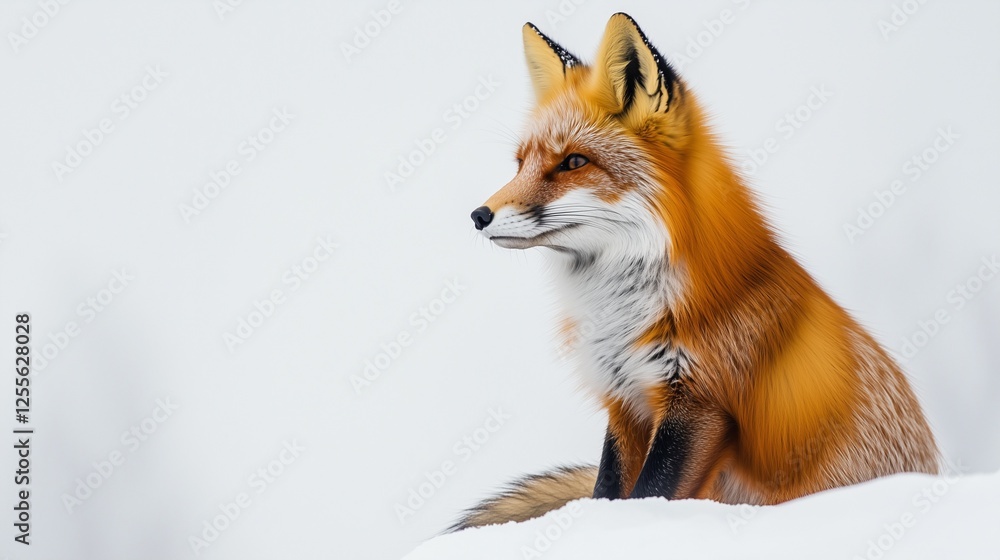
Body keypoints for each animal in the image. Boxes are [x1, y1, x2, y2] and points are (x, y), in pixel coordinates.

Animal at [453, 13, 939, 530]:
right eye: (520, 164)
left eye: (574, 162)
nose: (479, 216)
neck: (623, 312)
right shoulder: (625, 402)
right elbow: (608, 488)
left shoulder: (701, 406)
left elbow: (650, 493)